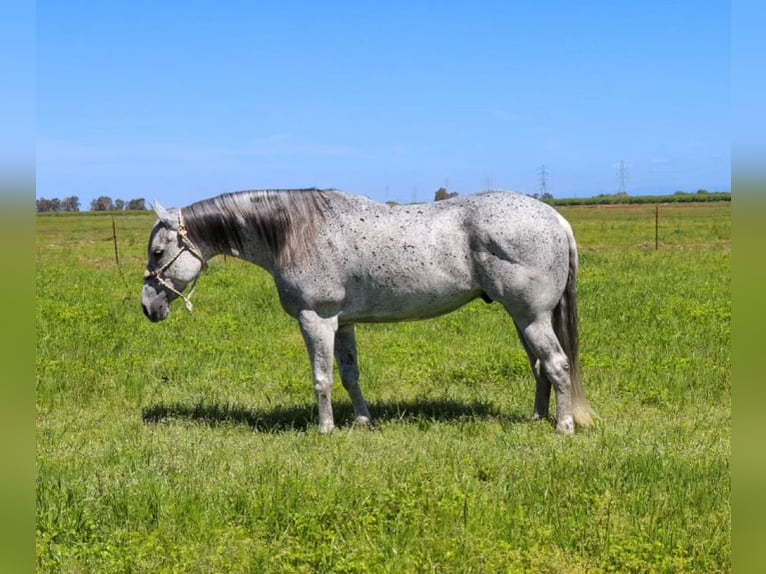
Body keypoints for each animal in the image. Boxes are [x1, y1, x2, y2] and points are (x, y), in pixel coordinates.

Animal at [141, 189, 596, 436]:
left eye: (158, 252)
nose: (148, 306)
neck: (296, 232)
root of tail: (556, 218)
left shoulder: (317, 320)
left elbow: (322, 378)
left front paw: (325, 429)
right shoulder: (343, 324)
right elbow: (349, 375)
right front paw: (362, 421)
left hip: (531, 317)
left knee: (557, 364)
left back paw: (563, 426)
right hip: (523, 319)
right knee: (540, 367)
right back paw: (537, 417)